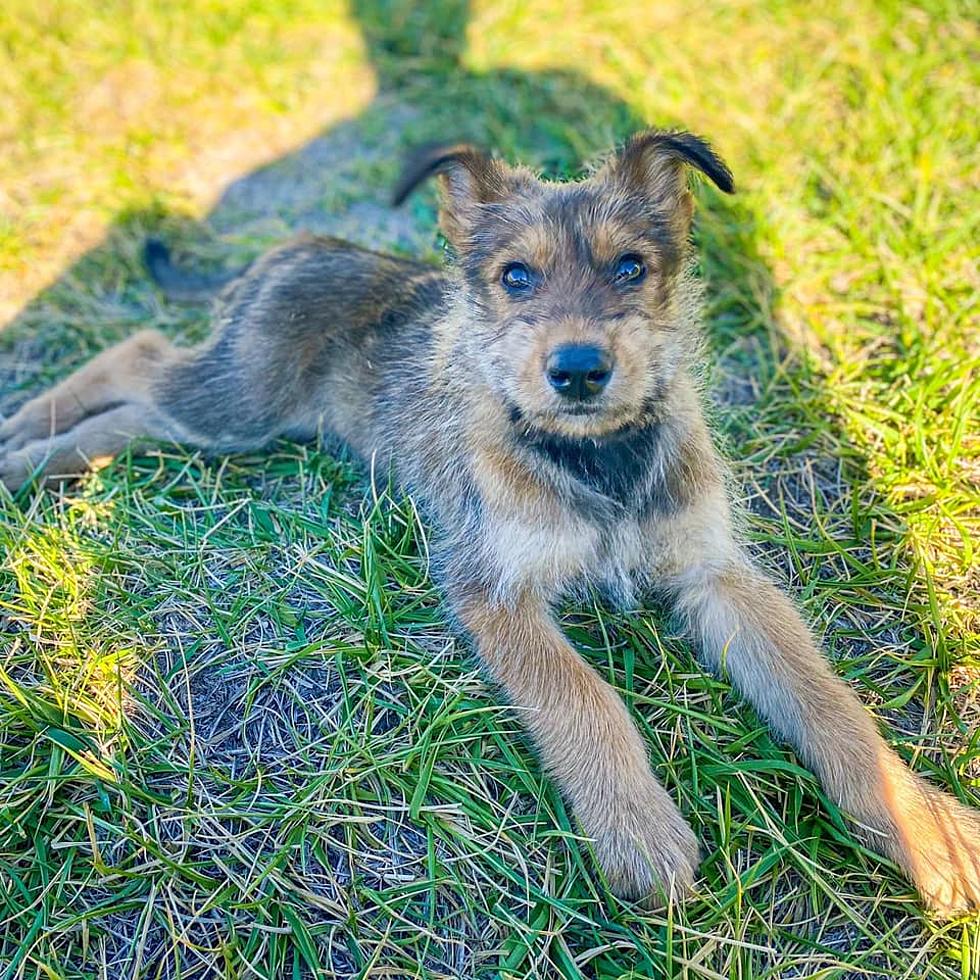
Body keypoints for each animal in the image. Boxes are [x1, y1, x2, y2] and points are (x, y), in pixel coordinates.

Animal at [1, 130, 980, 912]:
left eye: (631, 267)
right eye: (516, 277)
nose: (578, 370)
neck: (596, 458)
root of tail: (297, 245)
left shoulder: (717, 575)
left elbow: (828, 703)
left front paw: (923, 827)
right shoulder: (494, 588)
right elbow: (583, 699)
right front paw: (638, 830)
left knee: (140, 392)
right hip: (237, 403)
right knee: (139, 360)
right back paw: (24, 448)